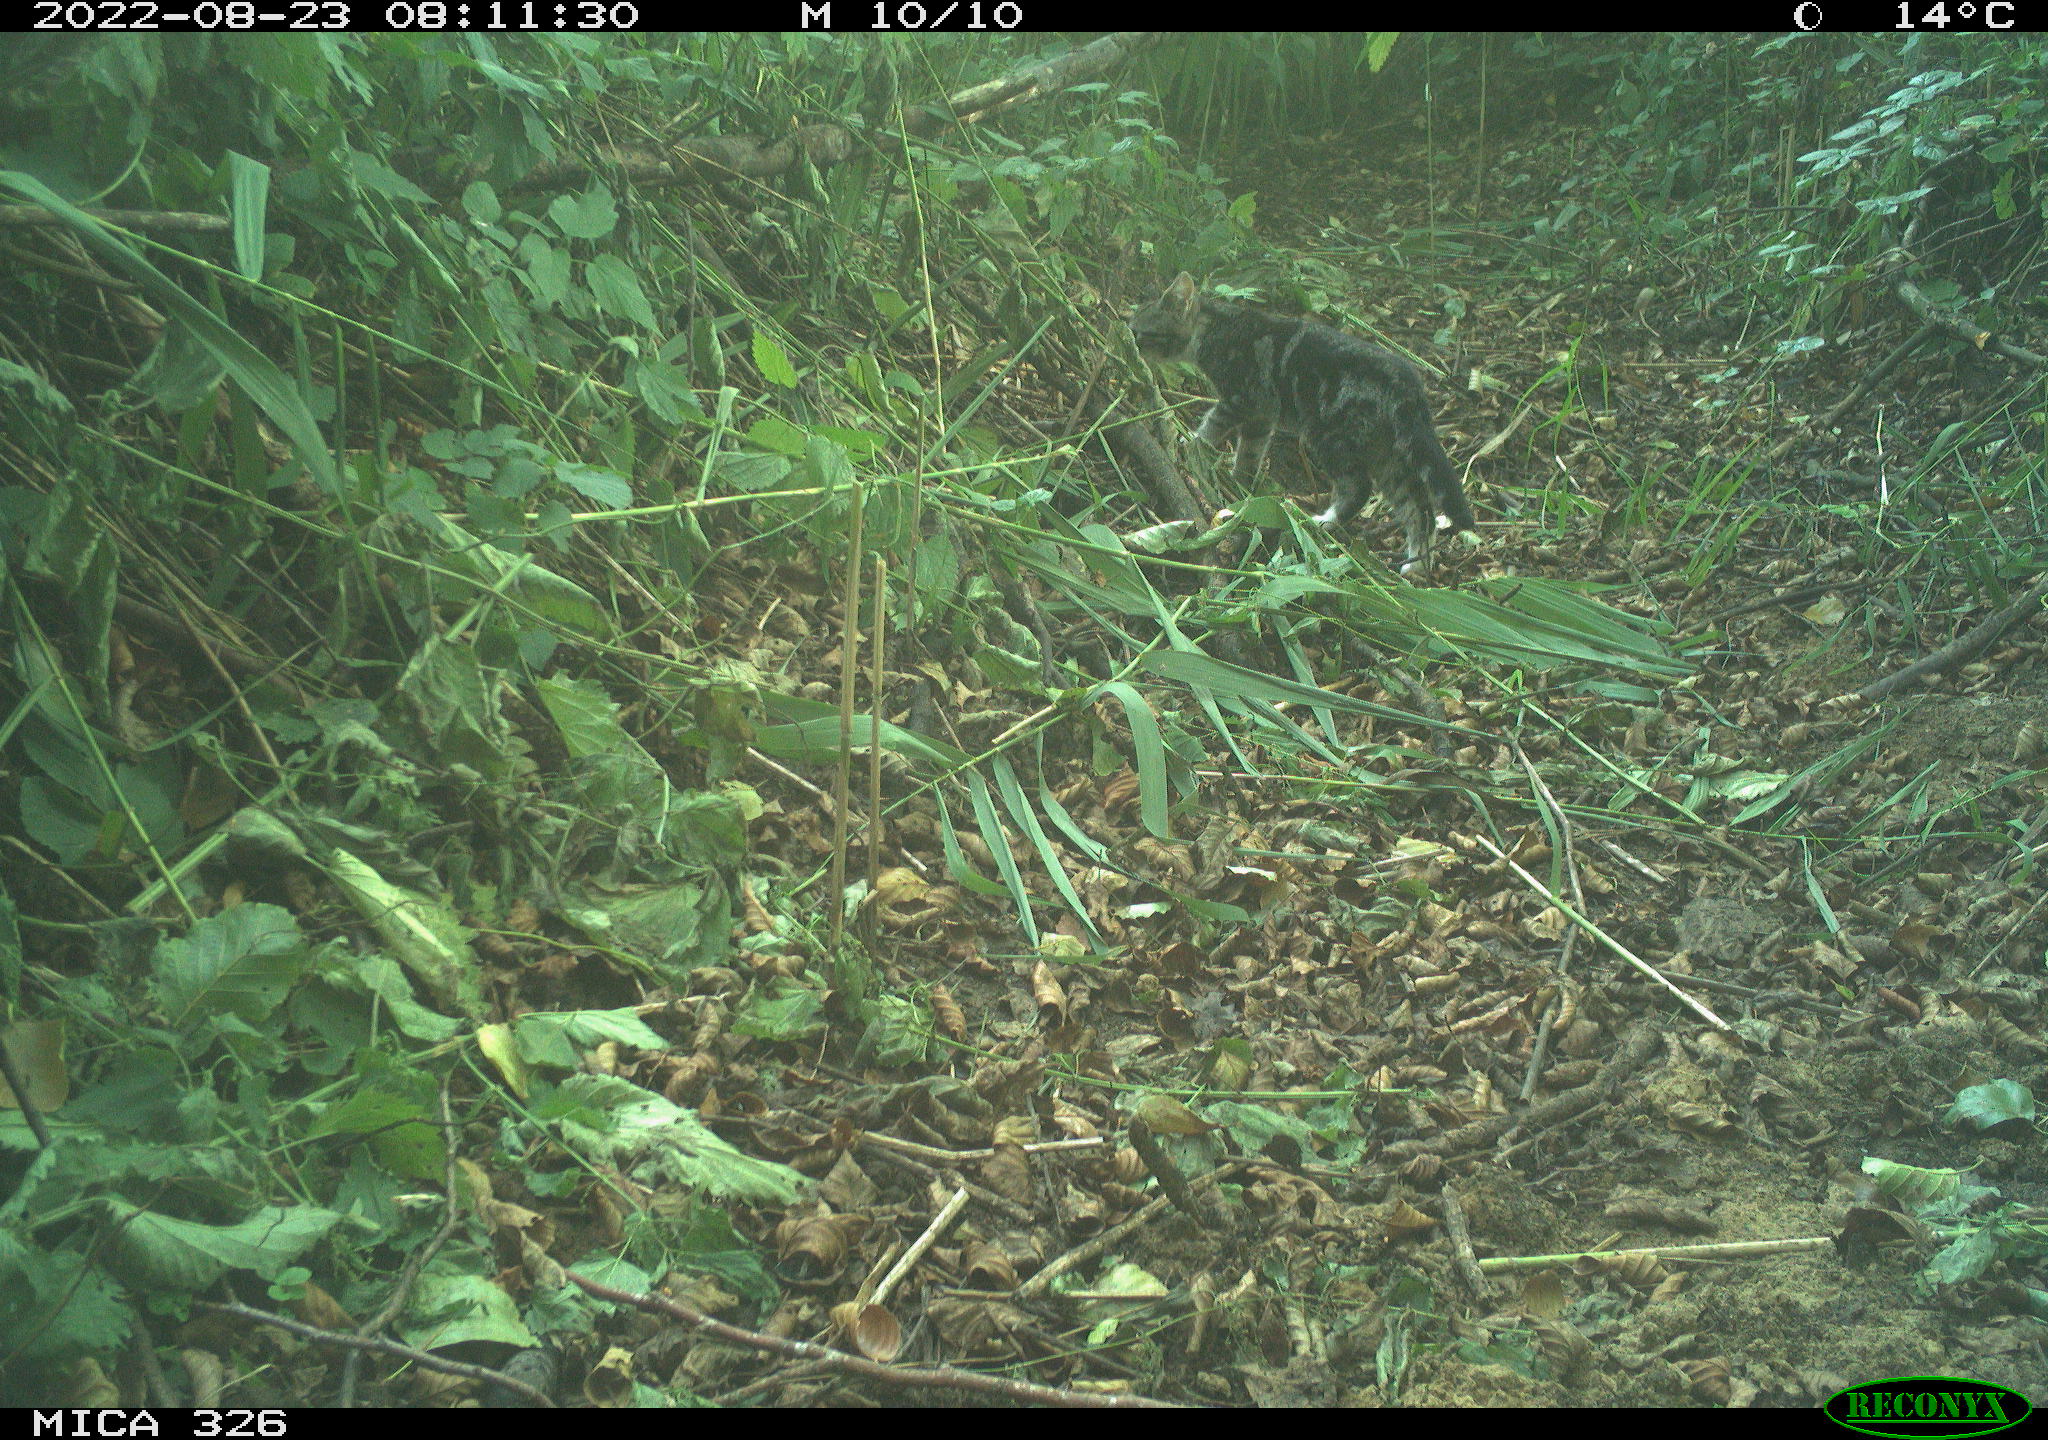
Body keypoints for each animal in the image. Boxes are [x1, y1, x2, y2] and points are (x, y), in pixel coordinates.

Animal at [1130, 272, 1474, 573]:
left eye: (1140, 331)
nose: (1127, 337)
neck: (1215, 328)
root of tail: (1410, 388)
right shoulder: (1261, 416)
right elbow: (1249, 456)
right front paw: (1240, 486)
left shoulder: (1241, 399)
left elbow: (1212, 426)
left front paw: (1189, 444)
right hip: (1387, 456)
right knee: (1420, 508)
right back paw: (1416, 563)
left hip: (1329, 437)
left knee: (1359, 487)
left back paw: (1325, 520)